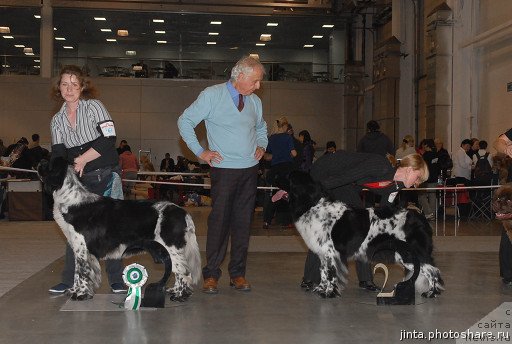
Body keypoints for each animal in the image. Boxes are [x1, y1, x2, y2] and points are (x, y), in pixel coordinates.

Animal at [38, 159, 201, 300]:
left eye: (48, 162)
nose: (40, 162)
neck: (72, 201)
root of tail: (183, 212)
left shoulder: (82, 249)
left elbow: (81, 273)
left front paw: (80, 294)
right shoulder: (79, 248)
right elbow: (80, 274)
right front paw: (75, 291)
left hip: (172, 248)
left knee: (184, 272)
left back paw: (180, 295)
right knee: (180, 272)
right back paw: (175, 291)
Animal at [282, 171, 442, 298]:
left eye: (288, 177)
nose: (275, 178)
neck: (313, 205)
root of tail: (420, 217)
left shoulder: (330, 252)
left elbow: (330, 273)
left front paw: (329, 293)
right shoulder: (323, 253)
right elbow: (323, 272)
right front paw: (322, 289)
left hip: (411, 254)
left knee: (433, 271)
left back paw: (432, 293)